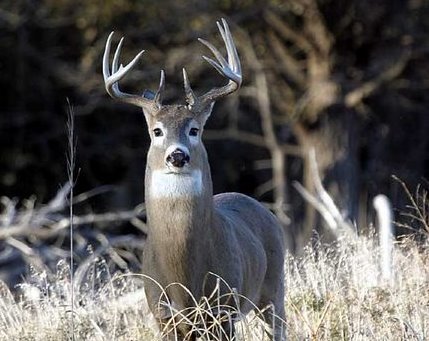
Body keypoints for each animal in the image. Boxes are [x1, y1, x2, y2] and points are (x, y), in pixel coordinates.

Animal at [102, 19, 286, 338]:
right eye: (157, 131)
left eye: (194, 130)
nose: (177, 156)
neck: (185, 276)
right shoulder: (162, 313)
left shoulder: (223, 308)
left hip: (274, 288)